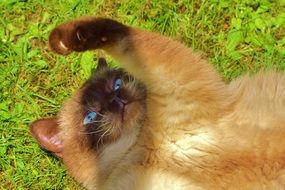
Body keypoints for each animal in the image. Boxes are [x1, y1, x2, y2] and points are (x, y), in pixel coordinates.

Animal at [31, 16, 285, 190]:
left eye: (116, 84)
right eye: (90, 117)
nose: (116, 99)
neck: (146, 146)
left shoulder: (173, 79)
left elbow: (119, 34)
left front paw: (64, 40)